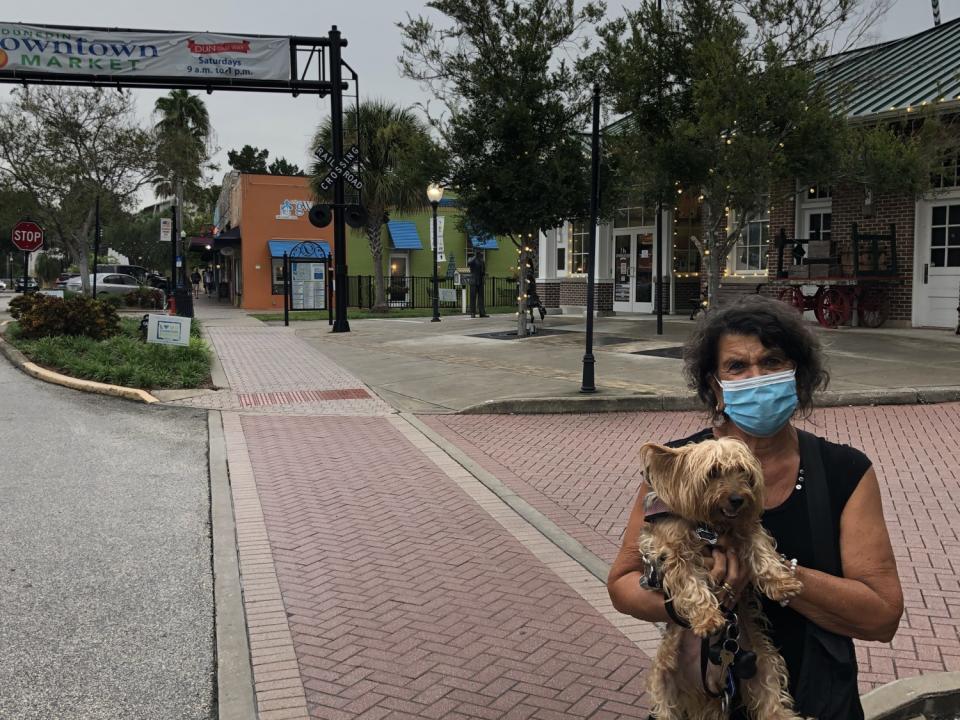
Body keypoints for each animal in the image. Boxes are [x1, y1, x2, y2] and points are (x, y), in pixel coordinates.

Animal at [640, 436, 808, 720]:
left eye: (744, 473)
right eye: (713, 473)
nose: (737, 499)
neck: (711, 527)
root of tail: (705, 689)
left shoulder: (746, 529)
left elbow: (762, 550)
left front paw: (781, 583)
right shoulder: (674, 553)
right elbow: (691, 585)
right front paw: (708, 618)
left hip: (762, 662)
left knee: (771, 699)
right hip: (664, 678)